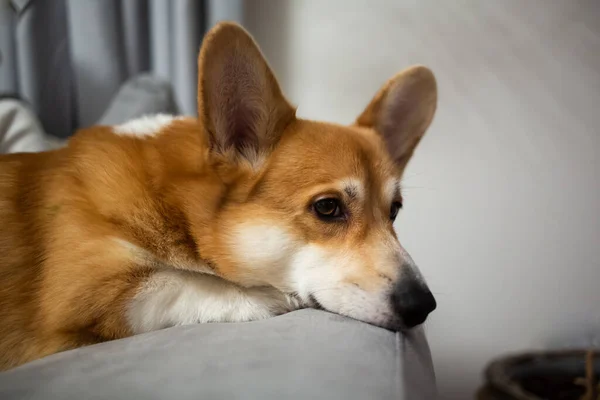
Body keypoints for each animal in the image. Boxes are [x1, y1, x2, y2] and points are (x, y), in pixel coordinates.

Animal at [0, 22, 438, 372]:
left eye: (394, 211)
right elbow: (185, 282)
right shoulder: (84, 292)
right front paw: (271, 295)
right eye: (328, 207)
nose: (424, 307)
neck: (173, 198)